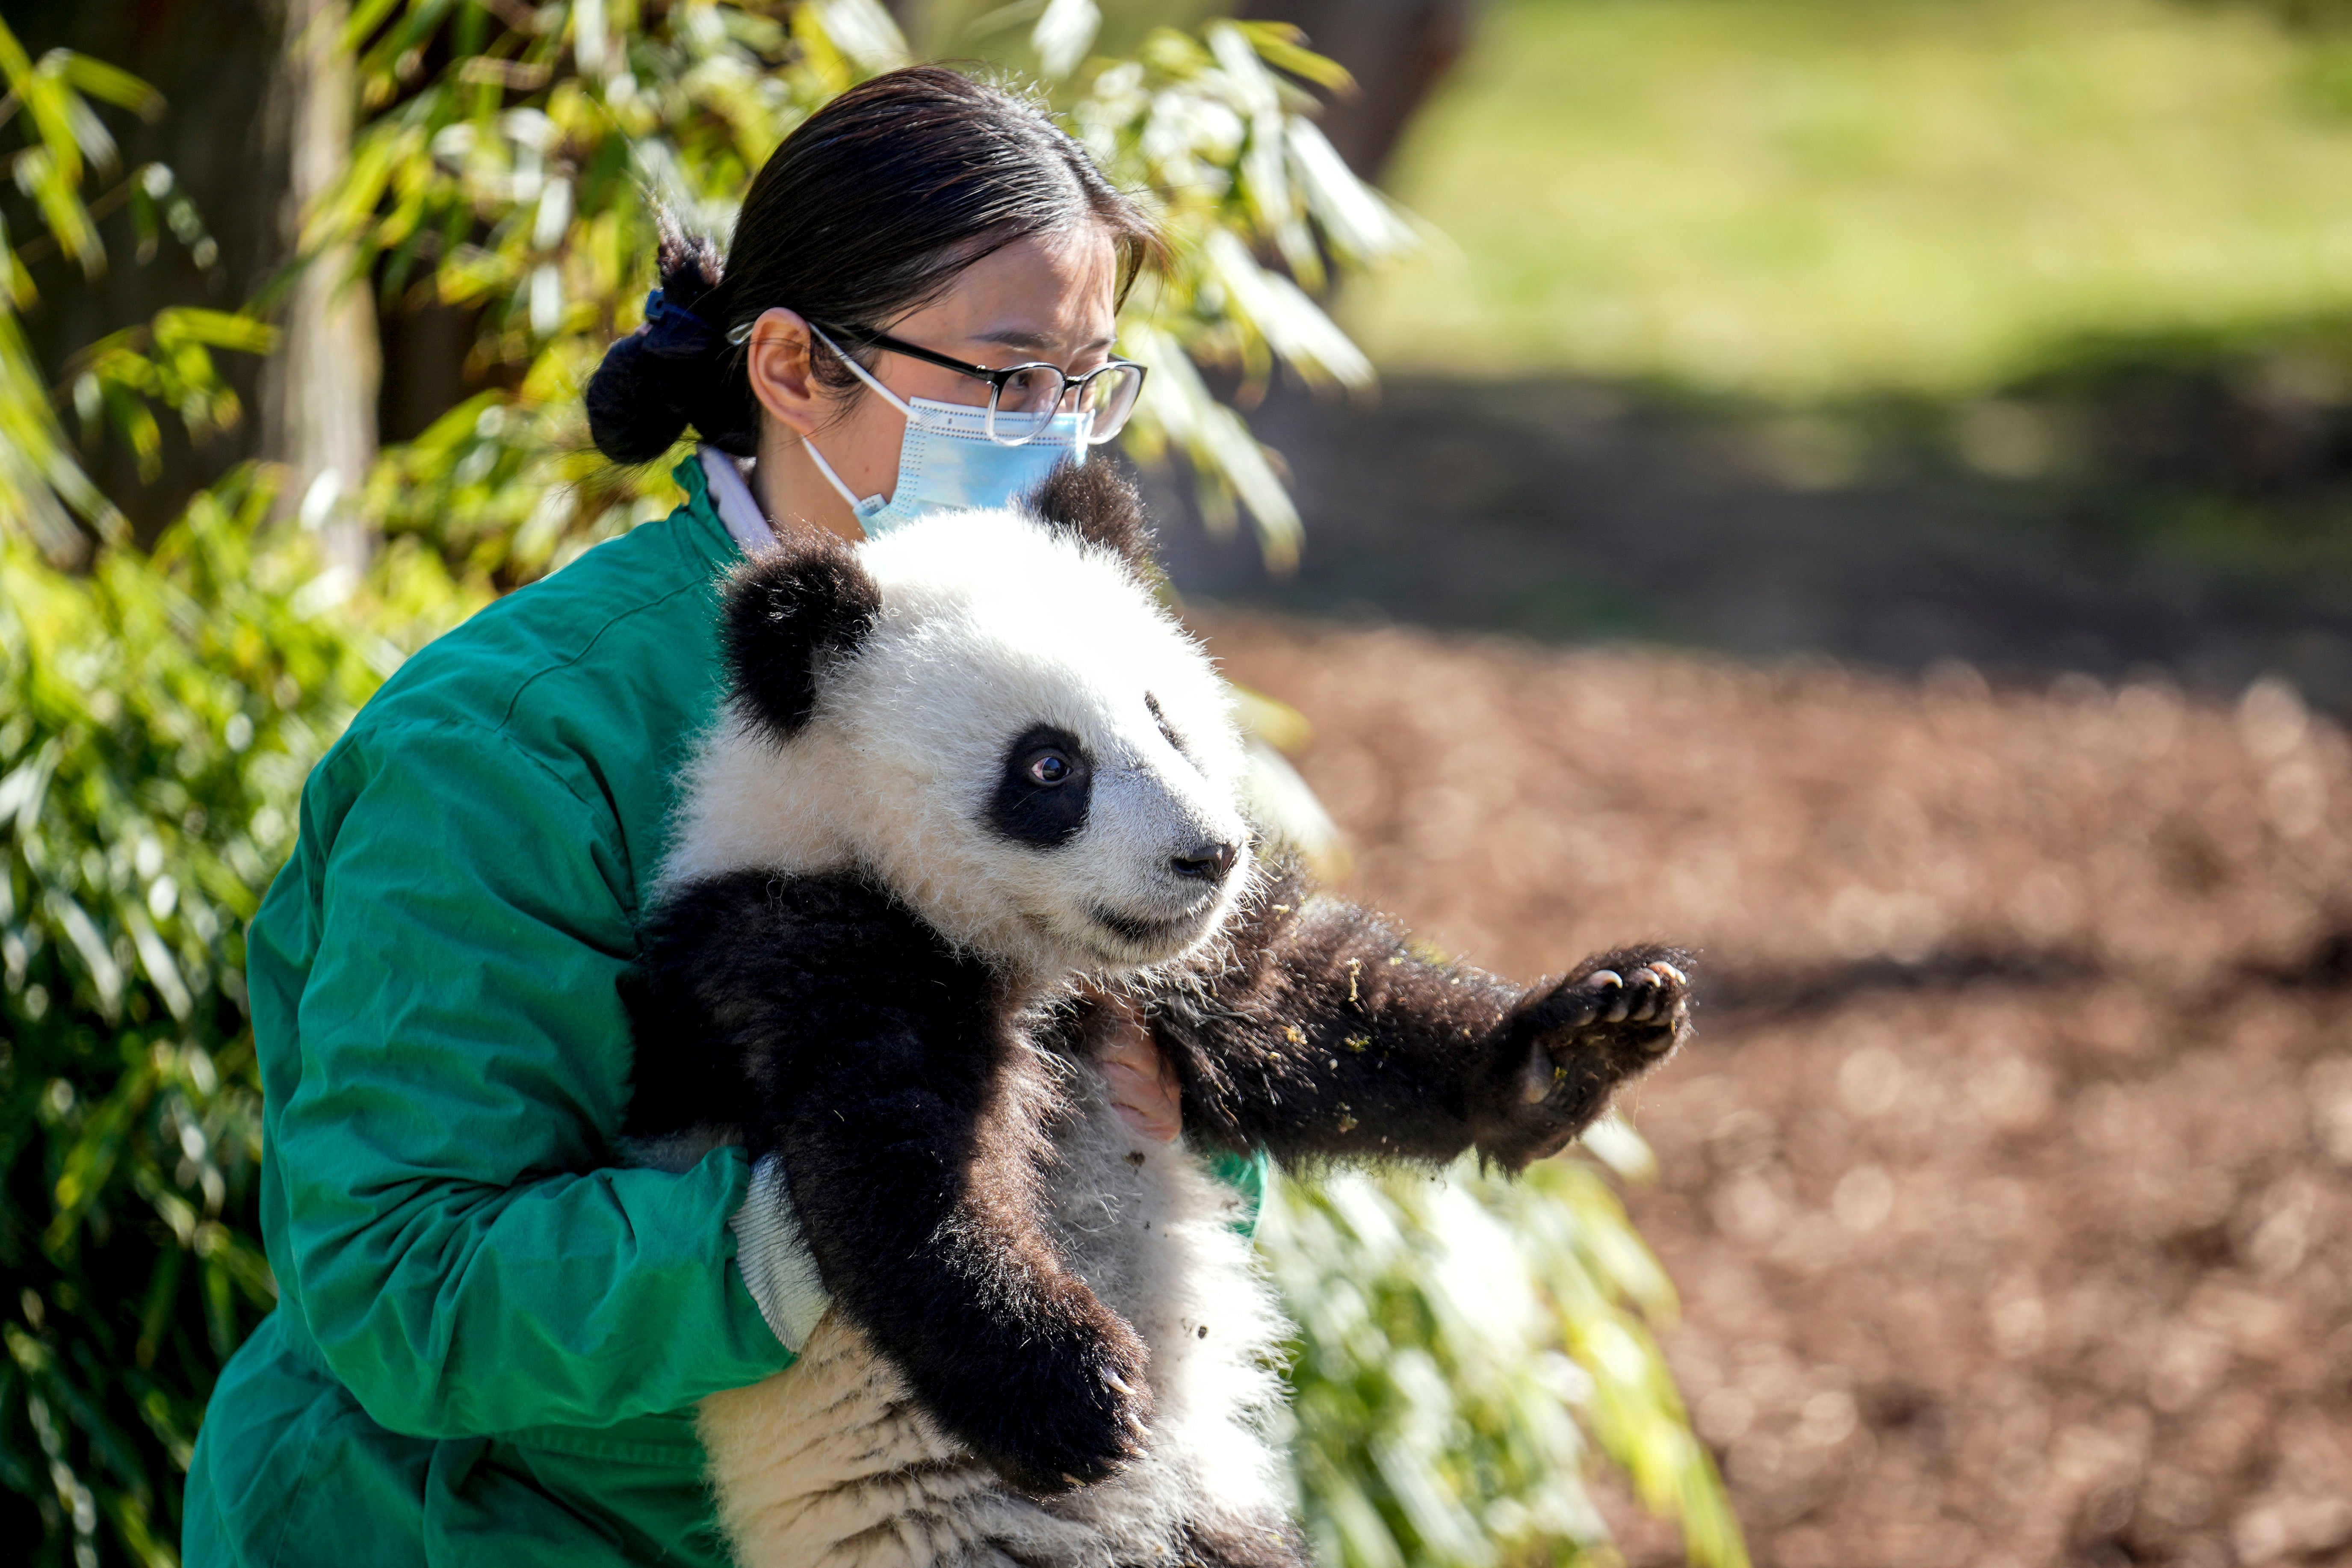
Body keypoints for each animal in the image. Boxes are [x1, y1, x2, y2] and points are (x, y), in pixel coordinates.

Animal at [621, 463, 1694, 1568]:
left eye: (1163, 718)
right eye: (1050, 766)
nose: (1208, 856)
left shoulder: (1173, 977)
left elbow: (1315, 1020)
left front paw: (1573, 1047)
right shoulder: (799, 938)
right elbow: (893, 1162)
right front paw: (1070, 1386)